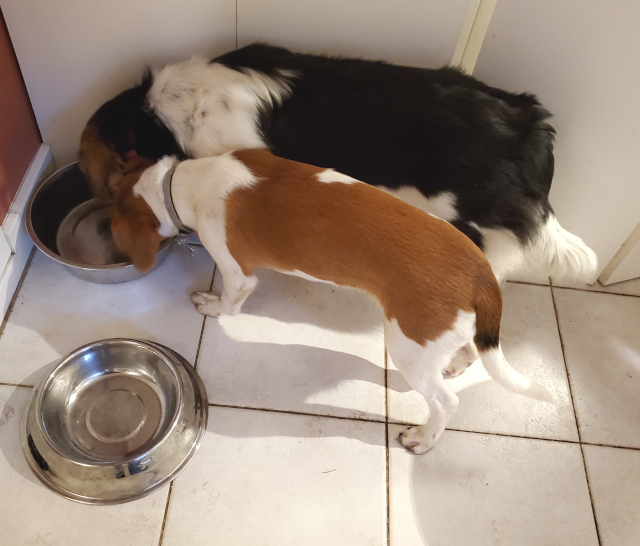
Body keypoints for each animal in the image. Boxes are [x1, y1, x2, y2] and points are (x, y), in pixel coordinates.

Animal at [109, 148, 552, 450]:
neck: (189, 180)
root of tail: (481, 273)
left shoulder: (238, 272)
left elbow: (231, 300)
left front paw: (213, 307)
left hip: (409, 346)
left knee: (445, 402)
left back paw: (423, 438)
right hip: (443, 337)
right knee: (473, 351)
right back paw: (456, 365)